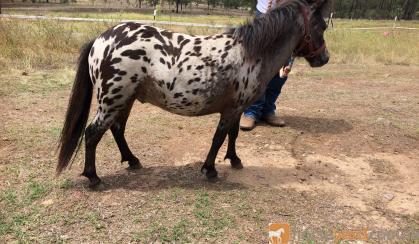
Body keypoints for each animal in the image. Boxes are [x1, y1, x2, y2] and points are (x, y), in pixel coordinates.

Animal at [56, 0, 332, 188]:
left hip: (125, 101)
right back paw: (94, 178)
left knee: (117, 130)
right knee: (92, 133)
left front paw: (234, 160)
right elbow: (219, 138)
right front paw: (210, 170)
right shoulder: (232, 109)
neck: (251, 53)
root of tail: (101, 39)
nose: (325, 59)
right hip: (112, 101)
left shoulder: (236, 108)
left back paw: (132, 161)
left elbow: (232, 135)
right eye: (321, 26)